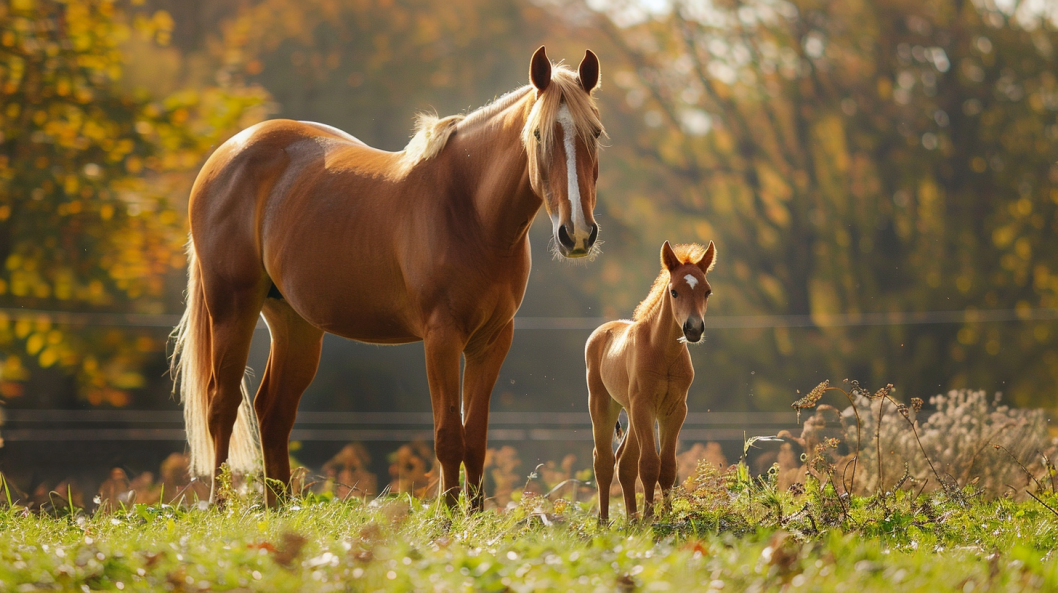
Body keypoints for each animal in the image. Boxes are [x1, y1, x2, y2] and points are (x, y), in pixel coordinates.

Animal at [170, 47, 609, 510]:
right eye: (539, 135)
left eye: (595, 134)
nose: (578, 233)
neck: (469, 209)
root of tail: (226, 155)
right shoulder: (441, 337)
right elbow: (448, 437)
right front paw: (448, 515)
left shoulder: (491, 341)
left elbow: (475, 439)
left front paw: (474, 514)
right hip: (232, 308)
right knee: (222, 403)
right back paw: (221, 505)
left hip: (295, 323)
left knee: (273, 411)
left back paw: (280, 508)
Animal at [584, 239, 715, 518]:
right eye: (674, 292)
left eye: (707, 292)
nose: (693, 329)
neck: (662, 353)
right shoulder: (644, 405)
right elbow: (649, 464)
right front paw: (650, 518)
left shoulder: (674, 409)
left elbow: (667, 466)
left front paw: (665, 515)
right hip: (604, 404)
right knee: (604, 461)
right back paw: (604, 520)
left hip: (632, 411)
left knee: (624, 462)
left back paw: (631, 519)